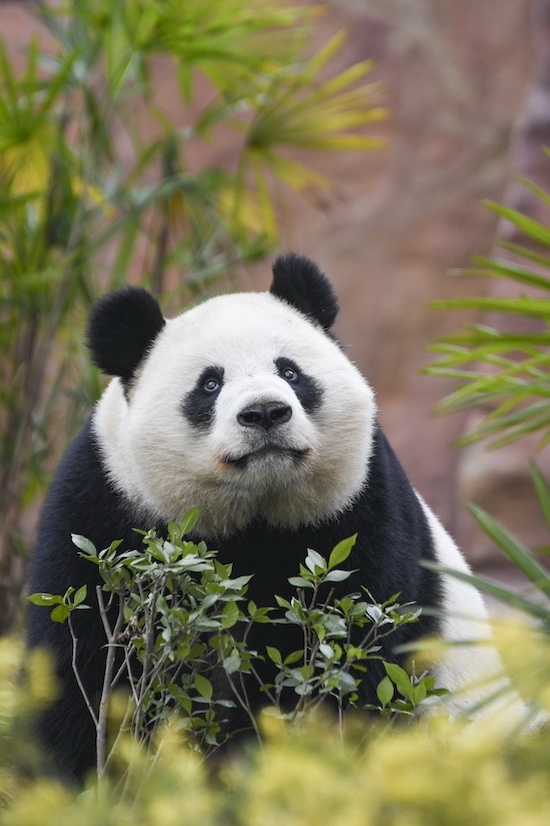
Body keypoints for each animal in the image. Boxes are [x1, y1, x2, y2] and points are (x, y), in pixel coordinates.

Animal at [27, 253, 504, 780]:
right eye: (210, 383)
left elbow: (360, 657)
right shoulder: (106, 507)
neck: (252, 514)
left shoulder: (359, 510)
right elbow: (83, 664)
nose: (265, 412)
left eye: (290, 372)